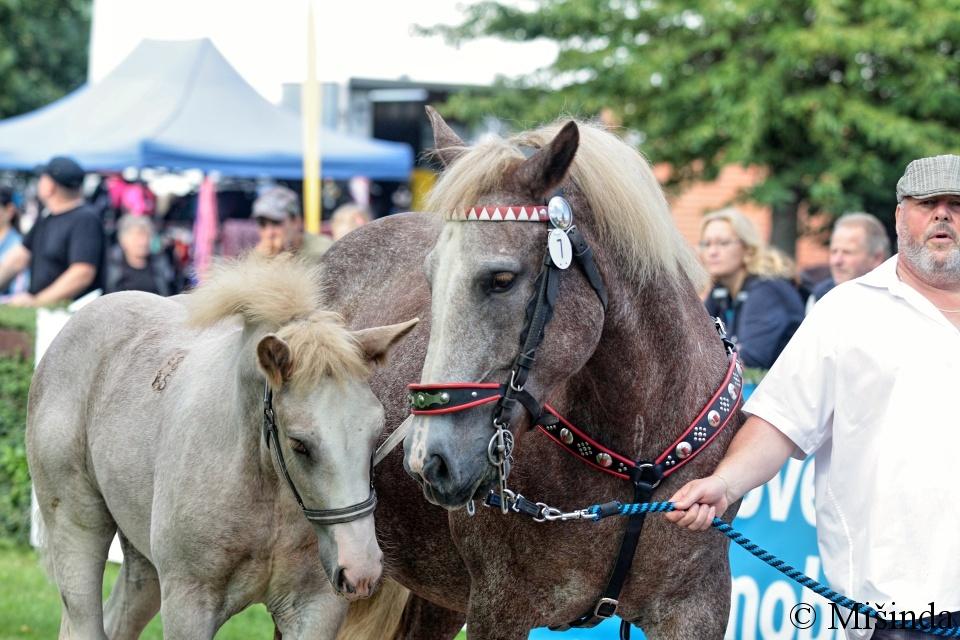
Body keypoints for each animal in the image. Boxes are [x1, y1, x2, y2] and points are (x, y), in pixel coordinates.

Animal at [29, 256, 416, 640]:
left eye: (376, 432)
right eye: (299, 444)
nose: (361, 570)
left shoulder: (316, 607)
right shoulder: (188, 605)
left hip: (143, 561)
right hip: (78, 526)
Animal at [326, 112, 748, 636]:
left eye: (501, 279)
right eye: (430, 278)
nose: (428, 459)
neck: (639, 457)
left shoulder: (694, 607)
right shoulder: (499, 608)